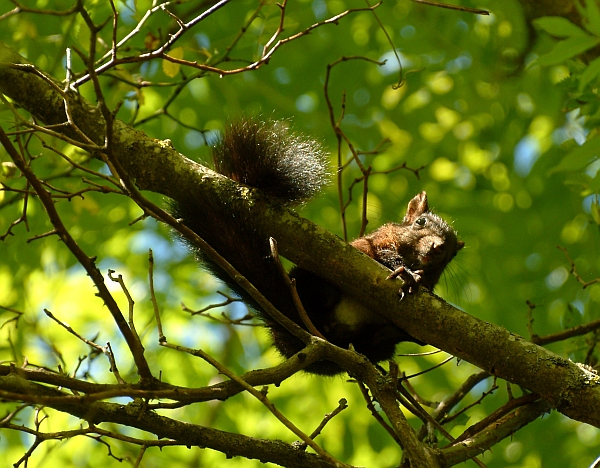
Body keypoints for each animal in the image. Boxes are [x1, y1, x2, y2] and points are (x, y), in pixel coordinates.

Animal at [169, 119, 464, 374]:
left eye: (451, 252)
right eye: (420, 222)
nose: (438, 247)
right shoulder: (374, 243)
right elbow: (383, 255)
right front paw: (405, 273)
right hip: (309, 282)